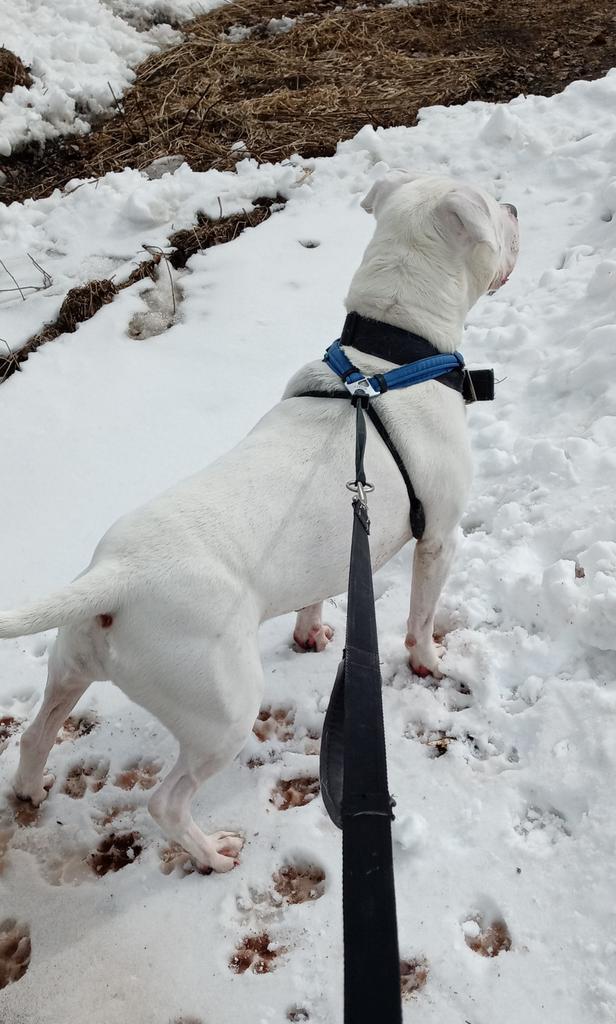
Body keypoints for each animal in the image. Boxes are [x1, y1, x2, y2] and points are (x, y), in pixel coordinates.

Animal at [0, 176, 517, 872]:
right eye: (493, 207)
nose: (514, 207)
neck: (386, 360)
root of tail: (116, 575)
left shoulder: (340, 545)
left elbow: (317, 595)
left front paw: (310, 634)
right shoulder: (439, 538)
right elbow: (419, 617)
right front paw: (430, 661)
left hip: (72, 663)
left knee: (36, 735)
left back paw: (30, 791)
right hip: (223, 712)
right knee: (166, 802)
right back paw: (213, 854)